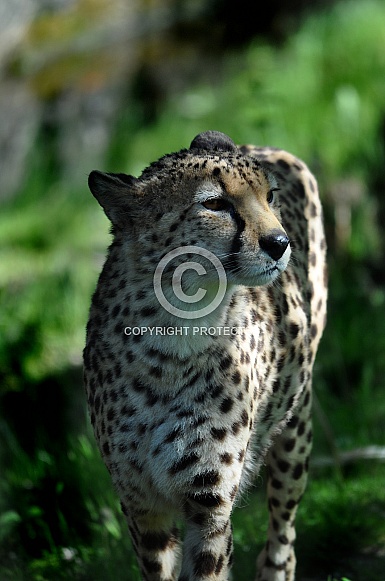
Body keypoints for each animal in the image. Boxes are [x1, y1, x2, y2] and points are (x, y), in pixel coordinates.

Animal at [84, 131, 328, 580]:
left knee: (283, 520)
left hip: (295, 423)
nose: (279, 243)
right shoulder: (141, 506)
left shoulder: (208, 506)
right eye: (214, 204)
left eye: (269, 196)